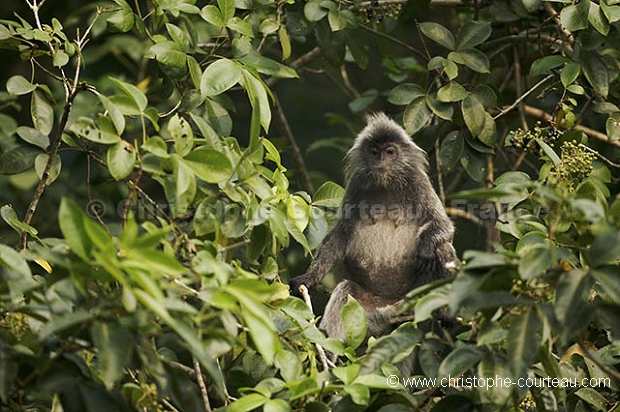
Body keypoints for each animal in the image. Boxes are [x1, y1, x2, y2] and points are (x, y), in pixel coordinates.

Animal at [290, 112, 456, 348]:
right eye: (374, 152)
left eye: (390, 152)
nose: (381, 161)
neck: (387, 183)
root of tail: (396, 305)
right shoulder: (356, 184)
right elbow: (340, 235)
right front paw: (308, 278)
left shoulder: (419, 181)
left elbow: (443, 225)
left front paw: (425, 248)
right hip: (369, 307)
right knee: (345, 293)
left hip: (419, 293)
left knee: (442, 247)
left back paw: (446, 311)